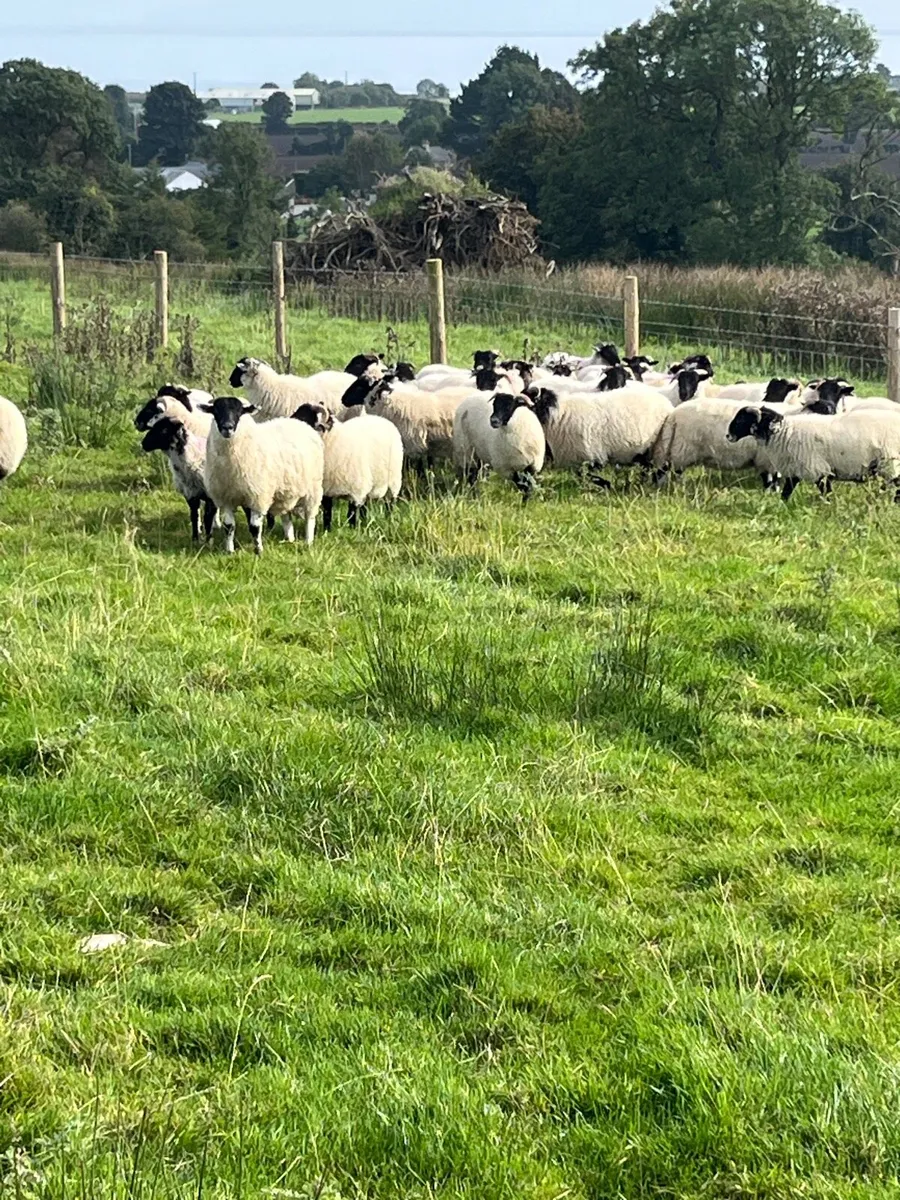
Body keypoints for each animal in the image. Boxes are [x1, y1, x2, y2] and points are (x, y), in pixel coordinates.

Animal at [198, 396, 323, 553]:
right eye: (215, 410)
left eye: (240, 411)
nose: (228, 427)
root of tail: (299, 423)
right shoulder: (225, 497)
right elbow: (229, 526)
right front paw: (229, 551)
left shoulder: (257, 496)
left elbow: (255, 527)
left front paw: (258, 550)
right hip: (285, 490)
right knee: (286, 515)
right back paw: (289, 539)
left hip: (313, 488)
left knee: (309, 517)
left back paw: (308, 541)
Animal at [291, 402, 403, 530]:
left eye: (305, 419)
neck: (333, 440)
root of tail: (380, 418)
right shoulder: (326, 489)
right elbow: (327, 512)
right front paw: (327, 530)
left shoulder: (356, 489)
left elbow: (351, 513)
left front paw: (352, 528)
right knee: (365, 505)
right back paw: (364, 521)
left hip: (393, 481)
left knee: (389, 503)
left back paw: (389, 519)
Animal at [726, 405, 900, 501]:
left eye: (741, 419)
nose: (728, 436)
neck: (784, 433)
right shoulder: (797, 470)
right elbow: (786, 493)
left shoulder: (817, 469)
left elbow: (825, 492)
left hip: (891, 463)